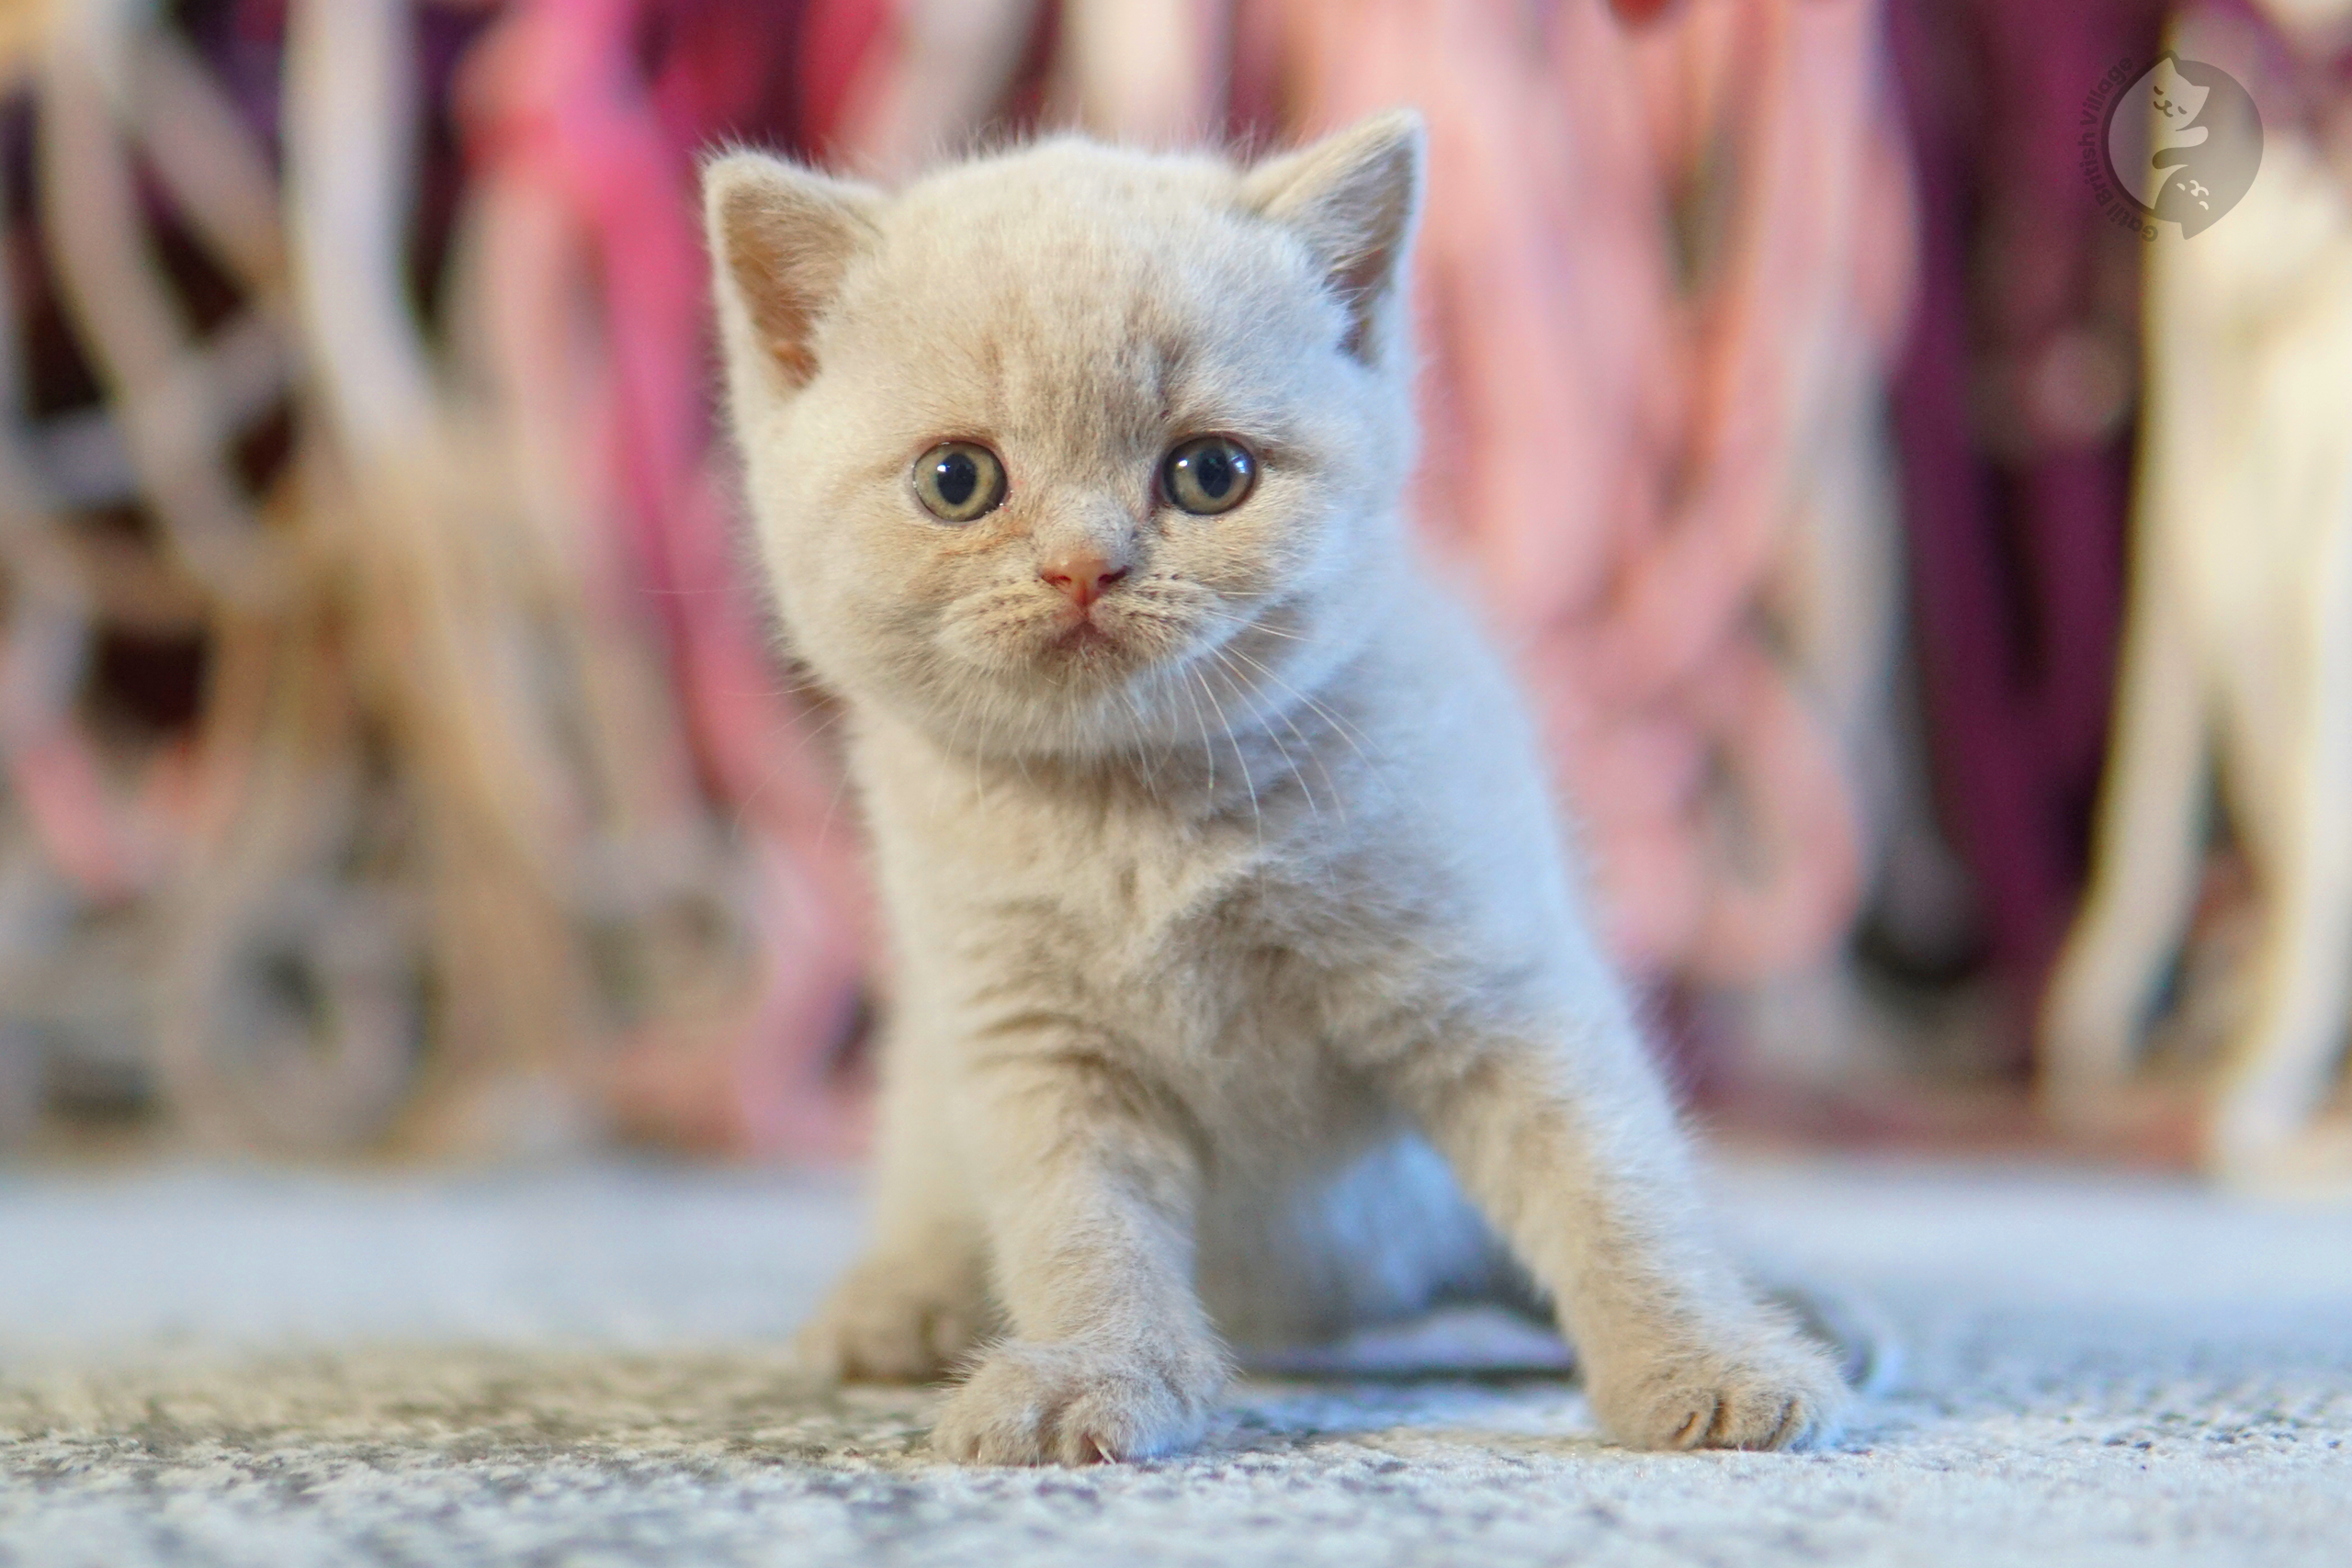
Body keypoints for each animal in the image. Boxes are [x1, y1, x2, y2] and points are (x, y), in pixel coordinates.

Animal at [706, 113, 1844, 1476]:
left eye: (1211, 472)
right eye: (957, 480)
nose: (1084, 565)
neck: (1139, 814)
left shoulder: (1491, 982)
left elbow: (1607, 1179)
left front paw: (1706, 1359)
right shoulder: (1026, 1035)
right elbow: (1078, 1226)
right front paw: (1098, 1372)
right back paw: (900, 1303)